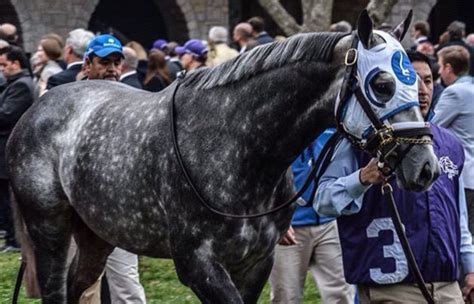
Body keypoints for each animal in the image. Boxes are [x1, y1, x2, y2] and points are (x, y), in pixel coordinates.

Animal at [7, 10, 436, 302]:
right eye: (382, 84)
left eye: (416, 80)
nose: (426, 166)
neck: (235, 146)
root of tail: (36, 110)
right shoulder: (199, 264)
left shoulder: (256, 261)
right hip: (50, 230)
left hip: (96, 234)